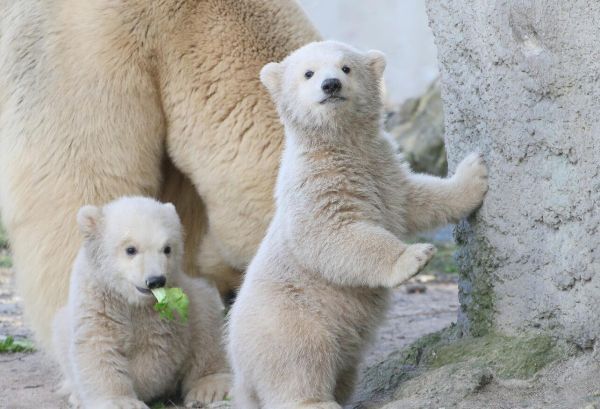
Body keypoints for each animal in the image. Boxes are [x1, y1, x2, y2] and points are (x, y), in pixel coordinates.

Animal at [52, 196, 231, 408]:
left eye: (167, 248)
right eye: (131, 249)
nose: (156, 280)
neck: (130, 300)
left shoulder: (165, 313)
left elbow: (157, 348)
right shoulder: (97, 302)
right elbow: (99, 347)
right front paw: (121, 401)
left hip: (195, 300)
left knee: (207, 325)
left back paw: (210, 387)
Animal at [227, 40, 489, 409]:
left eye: (346, 67)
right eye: (308, 73)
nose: (331, 85)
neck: (343, 145)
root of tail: (239, 373)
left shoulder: (382, 167)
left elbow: (416, 199)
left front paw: (475, 172)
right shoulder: (314, 186)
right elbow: (333, 234)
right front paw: (413, 257)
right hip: (286, 315)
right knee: (300, 358)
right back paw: (317, 401)